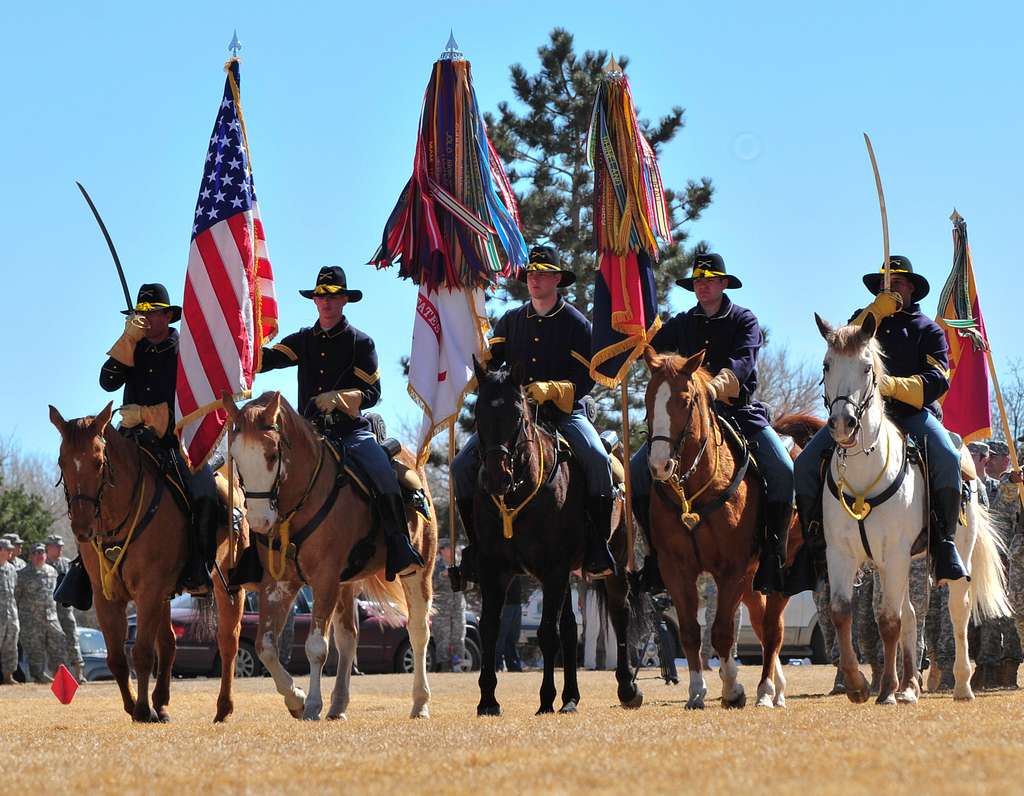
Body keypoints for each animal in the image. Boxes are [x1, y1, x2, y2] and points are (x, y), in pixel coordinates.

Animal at [49, 403, 245, 721]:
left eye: (98, 461)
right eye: (62, 461)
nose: (81, 527)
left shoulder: (149, 591)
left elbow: (141, 653)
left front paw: (141, 710)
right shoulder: (108, 598)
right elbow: (117, 658)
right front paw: (135, 706)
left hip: (227, 585)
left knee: (228, 641)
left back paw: (223, 708)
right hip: (165, 596)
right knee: (169, 643)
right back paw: (162, 703)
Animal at [224, 391, 436, 721]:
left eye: (271, 455)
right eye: (237, 459)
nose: (259, 522)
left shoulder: (323, 580)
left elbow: (315, 647)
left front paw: (311, 703)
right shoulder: (278, 583)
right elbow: (265, 647)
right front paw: (296, 699)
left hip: (418, 570)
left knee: (417, 632)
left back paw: (420, 703)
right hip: (346, 584)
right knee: (348, 638)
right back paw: (338, 704)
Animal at [468, 360, 638, 713]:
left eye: (518, 415)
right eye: (478, 414)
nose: (496, 478)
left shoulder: (554, 568)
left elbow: (548, 633)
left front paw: (545, 699)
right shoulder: (494, 569)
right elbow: (489, 628)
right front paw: (488, 700)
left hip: (613, 565)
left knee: (620, 614)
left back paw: (627, 687)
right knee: (572, 629)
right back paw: (571, 697)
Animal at [643, 352, 819, 708]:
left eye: (685, 400)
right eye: (647, 399)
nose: (659, 465)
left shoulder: (732, 569)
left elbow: (722, 631)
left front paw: (732, 689)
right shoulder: (675, 568)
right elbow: (690, 631)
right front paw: (697, 691)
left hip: (777, 571)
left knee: (772, 629)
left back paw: (766, 690)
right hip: (753, 580)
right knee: (760, 624)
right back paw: (777, 686)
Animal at [811, 313, 1011, 704]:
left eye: (867, 367)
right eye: (827, 365)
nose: (842, 424)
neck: (865, 471)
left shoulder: (894, 553)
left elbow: (889, 620)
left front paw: (886, 690)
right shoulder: (842, 553)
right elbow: (844, 613)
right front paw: (858, 685)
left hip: (951, 555)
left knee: (957, 611)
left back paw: (960, 685)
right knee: (911, 613)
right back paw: (909, 686)